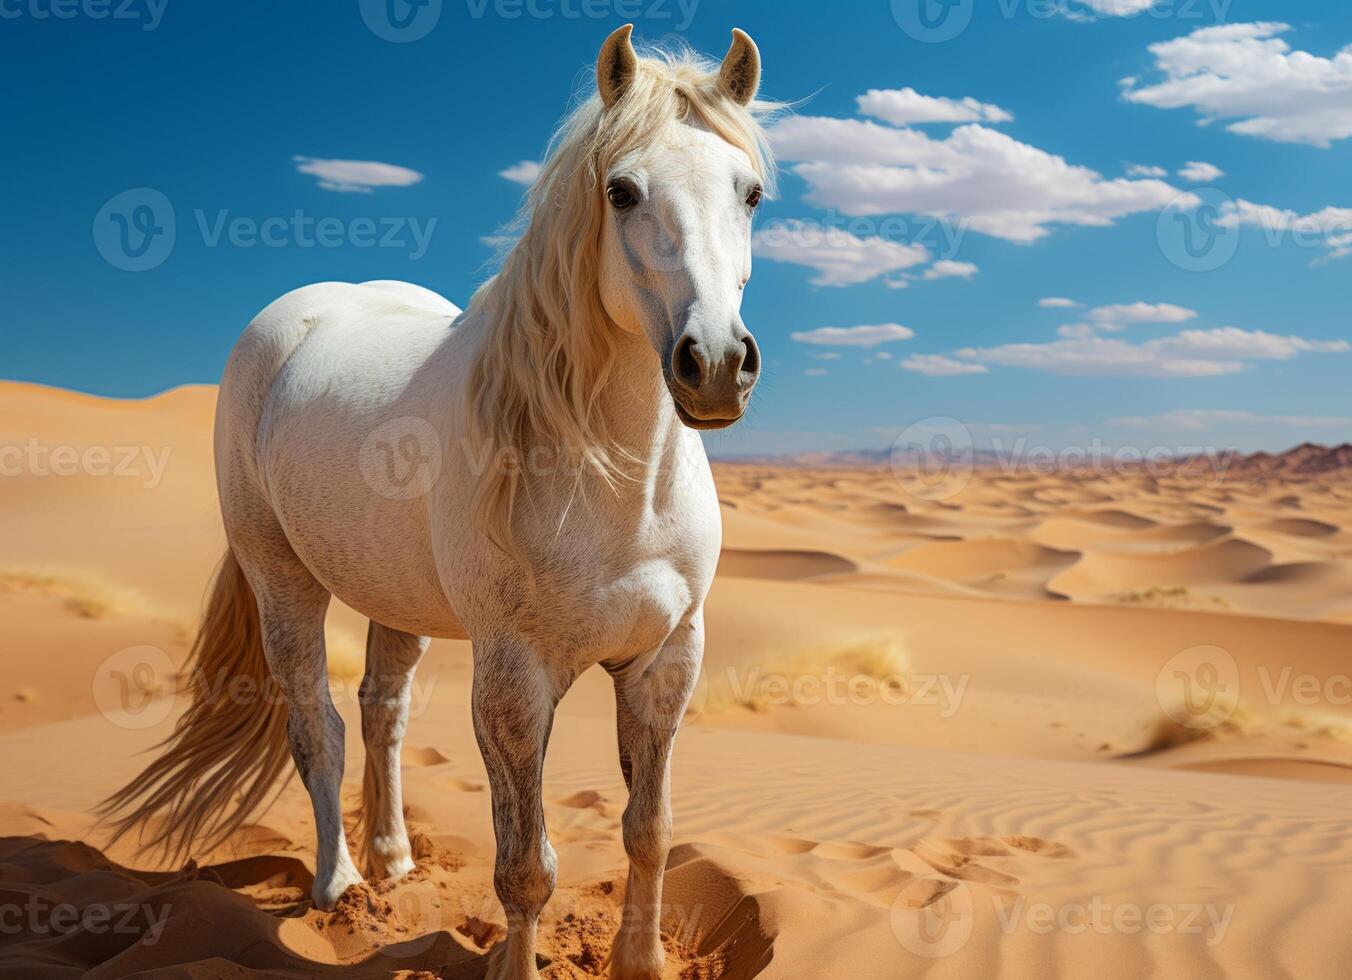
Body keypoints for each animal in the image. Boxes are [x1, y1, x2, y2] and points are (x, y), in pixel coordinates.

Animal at [102, 24, 773, 978]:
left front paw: (640, 963)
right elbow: (526, 866)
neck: (618, 481)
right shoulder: (513, 680)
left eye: (750, 193)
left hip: (396, 598)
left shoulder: (666, 660)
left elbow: (649, 832)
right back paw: (339, 886)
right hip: (284, 586)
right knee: (318, 727)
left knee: (382, 710)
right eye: (622, 191)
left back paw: (392, 862)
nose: (715, 365)